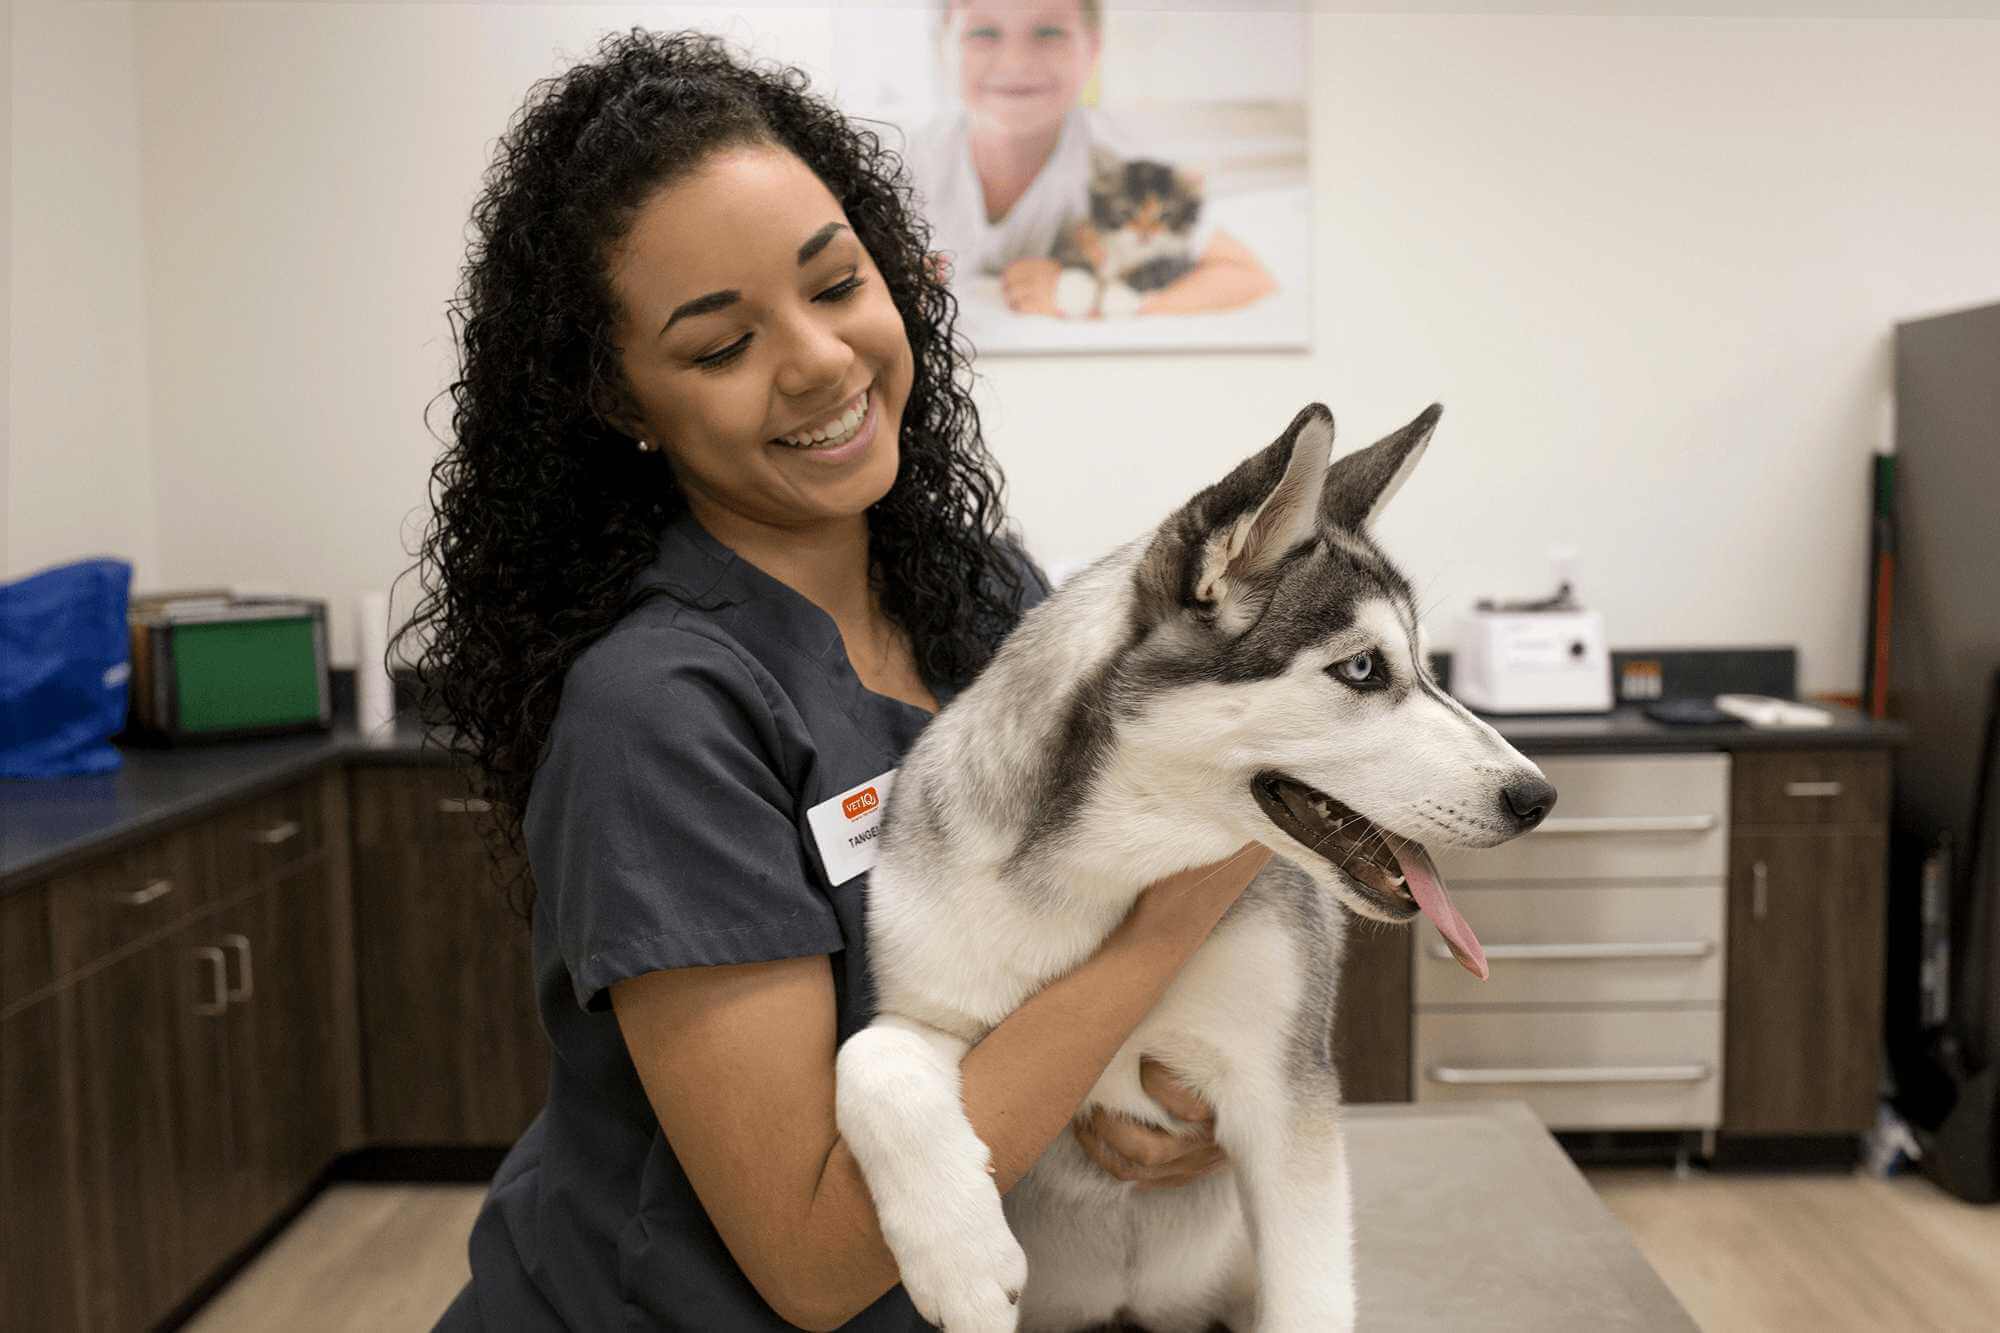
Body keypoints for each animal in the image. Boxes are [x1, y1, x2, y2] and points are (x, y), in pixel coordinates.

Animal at [836, 400, 1552, 1320]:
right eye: (1362, 667)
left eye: (1427, 669)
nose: (1537, 796)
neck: (1101, 879)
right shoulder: (937, 1005)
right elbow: (869, 1060)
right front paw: (961, 1264)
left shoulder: (1283, 1095)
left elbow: (1310, 1297)